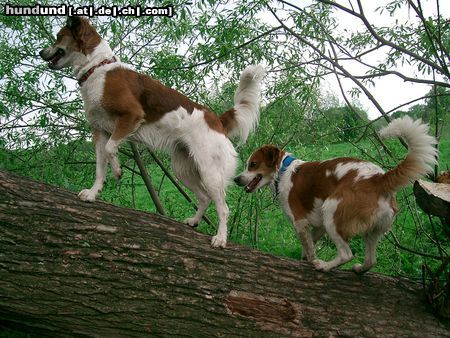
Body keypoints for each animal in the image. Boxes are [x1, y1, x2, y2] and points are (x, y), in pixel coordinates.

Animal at [40, 16, 266, 248]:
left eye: (59, 36)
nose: (40, 52)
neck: (97, 68)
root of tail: (217, 120)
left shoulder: (130, 116)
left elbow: (112, 149)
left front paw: (118, 171)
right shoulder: (100, 133)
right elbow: (100, 167)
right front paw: (94, 193)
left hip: (209, 172)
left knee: (223, 208)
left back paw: (220, 238)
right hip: (183, 169)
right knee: (204, 198)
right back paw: (194, 221)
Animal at [234, 117, 438, 274]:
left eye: (252, 164)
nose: (237, 179)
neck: (283, 171)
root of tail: (379, 178)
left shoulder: (300, 222)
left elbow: (309, 248)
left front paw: (311, 261)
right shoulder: (318, 226)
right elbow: (309, 245)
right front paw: (304, 258)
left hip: (331, 211)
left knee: (346, 254)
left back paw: (324, 266)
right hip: (371, 230)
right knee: (371, 261)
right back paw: (359, 270)